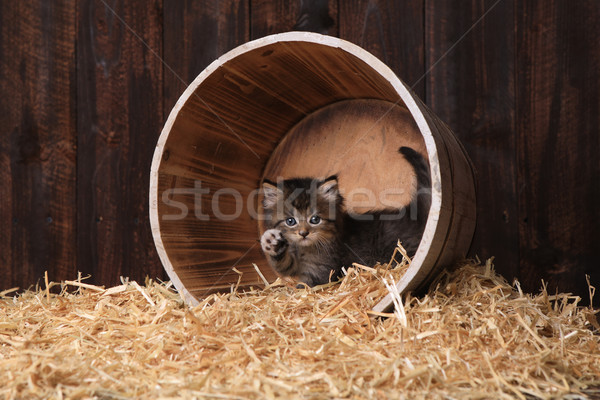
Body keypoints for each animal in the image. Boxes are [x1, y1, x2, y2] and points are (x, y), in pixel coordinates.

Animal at [260, 147, 428, 288]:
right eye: (290, 221)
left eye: (315, 220)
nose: (303, 233)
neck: (304, 248)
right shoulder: (293, 263)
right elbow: (283, 264)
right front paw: (271, 242)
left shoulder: (322, 270)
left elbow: (305, 287)